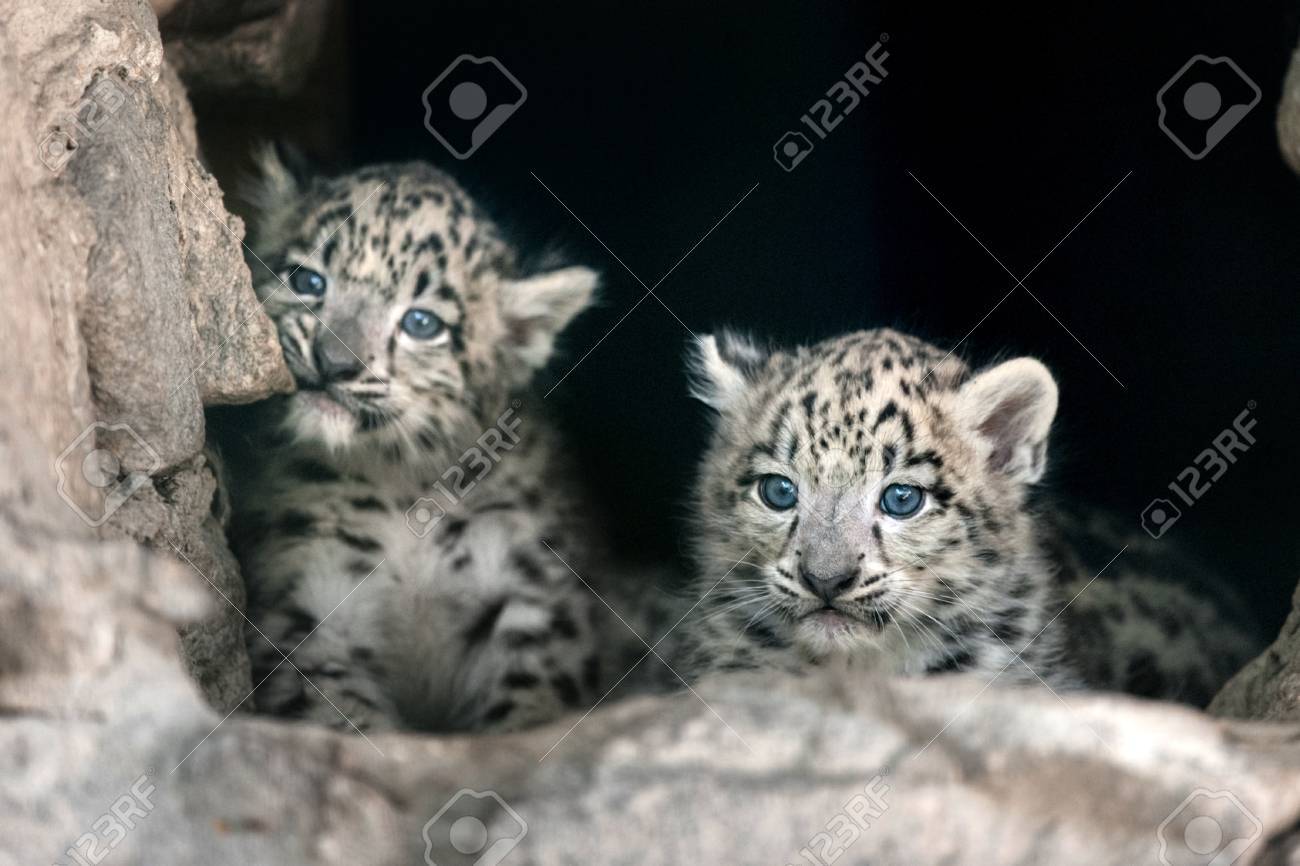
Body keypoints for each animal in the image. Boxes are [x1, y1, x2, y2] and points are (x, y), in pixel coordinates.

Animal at [220, 146, 642, 734]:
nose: (334, 363)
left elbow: (529, 699)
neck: (401, 488)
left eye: (422, 323)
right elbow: (342, 716)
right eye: (307, 281)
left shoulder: (533, 599)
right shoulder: (305, 609)